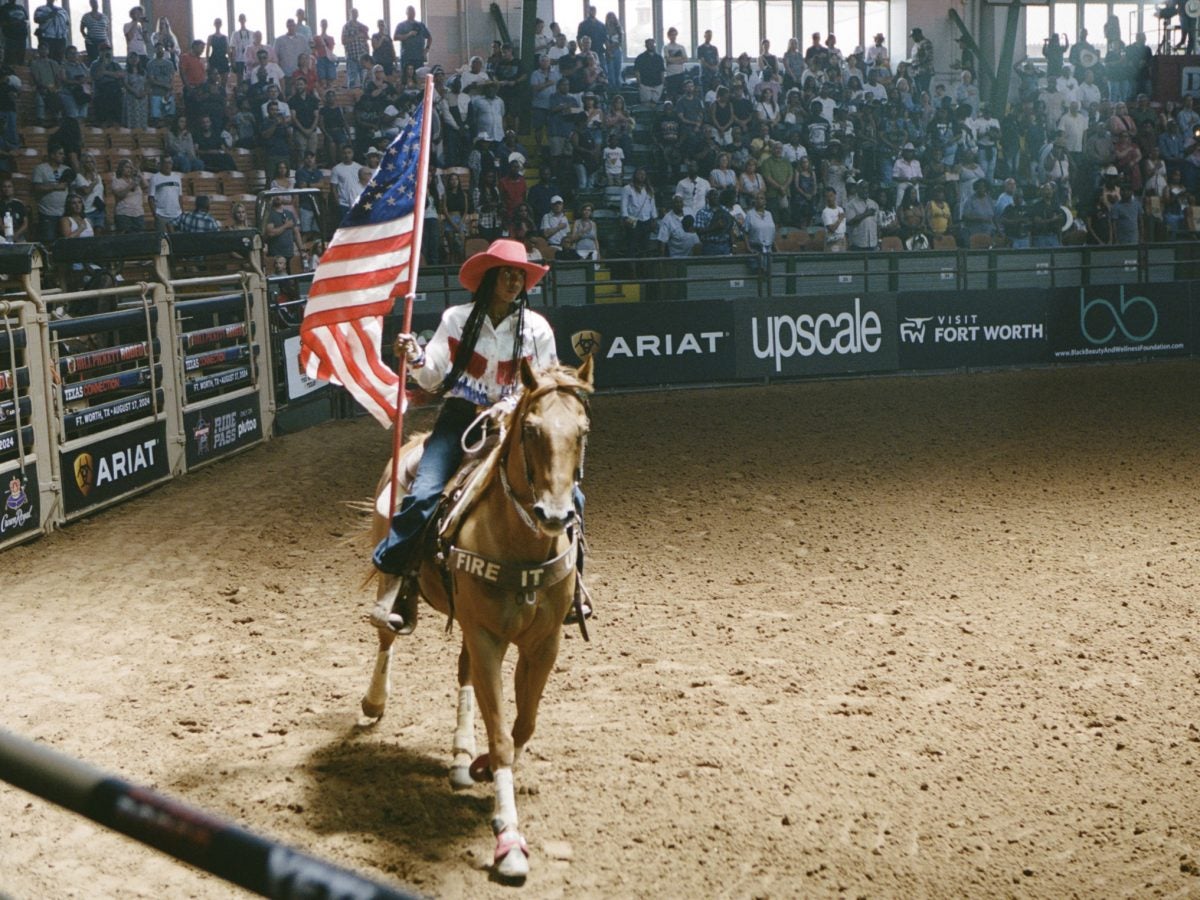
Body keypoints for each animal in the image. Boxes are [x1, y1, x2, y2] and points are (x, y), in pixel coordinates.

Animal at [360, 355, 595, 883]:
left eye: (583, 431)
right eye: (530, 429)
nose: (554, 515)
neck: (520, 544)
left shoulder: (543, 642)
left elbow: (521, 726)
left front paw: (483, 763)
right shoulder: (488, 636)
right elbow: (504, 735)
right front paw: (508, 842)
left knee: (463, 672)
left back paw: (462, 756)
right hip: (396, 574)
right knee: (386, 634)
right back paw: (374, 701)